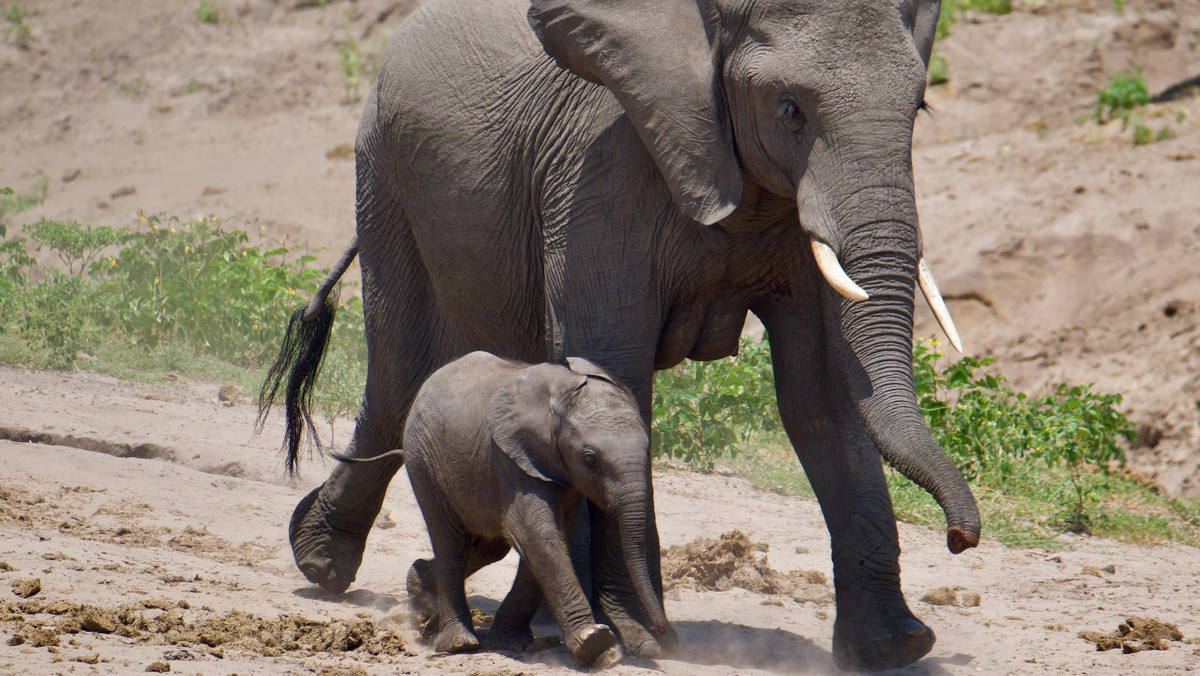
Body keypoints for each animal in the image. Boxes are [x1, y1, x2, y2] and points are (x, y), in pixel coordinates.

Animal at [396, 353, 667, 667]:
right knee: (450, 541)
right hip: (423, 459)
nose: (659, 631)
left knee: (488, 546)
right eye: (590, 459)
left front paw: (513, 642)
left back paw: (418, 590)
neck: (561, 394)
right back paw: (458, 643)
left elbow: (551, 535)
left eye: (648, 451)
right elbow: (534, 532)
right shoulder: (511, 456)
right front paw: (595, 642)